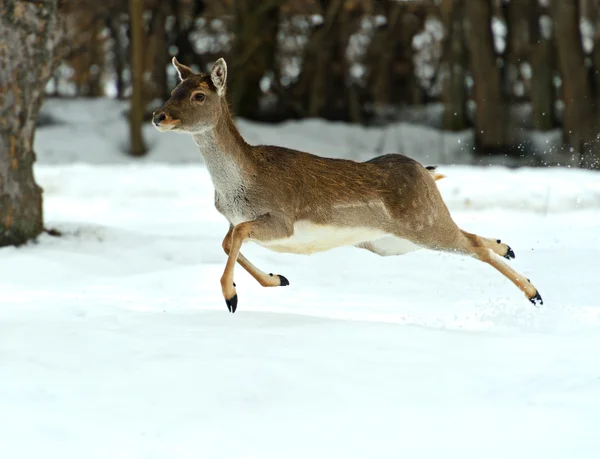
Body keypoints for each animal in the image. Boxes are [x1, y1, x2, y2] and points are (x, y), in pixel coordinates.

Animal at [151, 57, 544, 314]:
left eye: (198, 95)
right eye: (174, 88)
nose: (159, 115)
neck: (236, 188)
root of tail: (423, 170)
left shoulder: (282, 218)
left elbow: (237, 235)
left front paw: (231, 296)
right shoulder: (234, 220)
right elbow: (227, 240)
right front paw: (278, 279)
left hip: (421, 223)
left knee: (471, 245)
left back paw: (534, 292)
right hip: (392, 242)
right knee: (471, 237)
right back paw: (508, 249)